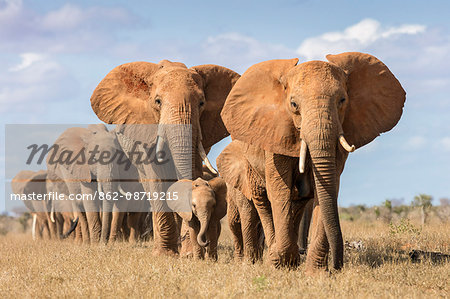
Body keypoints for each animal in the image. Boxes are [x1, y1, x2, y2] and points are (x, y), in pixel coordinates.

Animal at [89, 59, 241, 256]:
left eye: (201, 103)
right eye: (158, 101)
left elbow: (192, 168)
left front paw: (188, 252)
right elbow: (157, 177)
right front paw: (166, 254)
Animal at [220, 52, 406, 274]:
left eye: (342, 100)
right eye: (293, 105)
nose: (337, 267)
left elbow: (325, 189)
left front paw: (315, 272)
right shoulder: (275, 137)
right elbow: (279, 190)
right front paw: (282, 263)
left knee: (299, 202)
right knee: (263, 201)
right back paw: (274, 256)